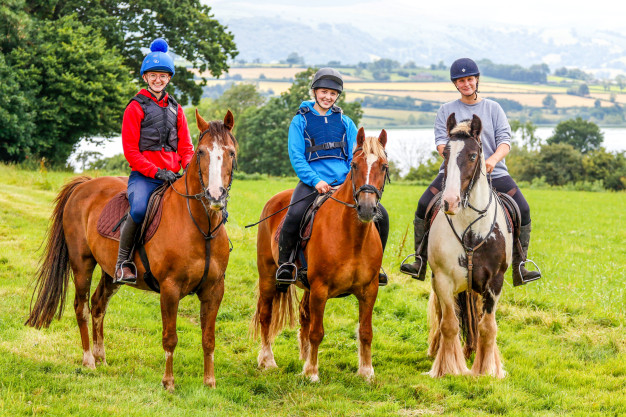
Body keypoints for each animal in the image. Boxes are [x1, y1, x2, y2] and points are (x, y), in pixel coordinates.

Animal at [25, 110, 238, 390]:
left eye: (231, 152)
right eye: (201, 152)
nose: (215, 195)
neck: (203, 229)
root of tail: (83, 186)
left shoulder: (214, 290)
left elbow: (209, 338)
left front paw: (210, 383)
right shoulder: (170, 289)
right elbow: (170, 337)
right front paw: (168, 383)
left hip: (111, 272)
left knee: (98, 305)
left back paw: (101, 357)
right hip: (82, 264)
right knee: (81, 307)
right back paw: (88, 361)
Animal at [251, 128, 388, 382]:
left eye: (383, 166)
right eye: (354, 165)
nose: (366, 208)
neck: (352, 238)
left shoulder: (369, 290)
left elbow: (365, 331)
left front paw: (366, 372)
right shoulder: (320, 290)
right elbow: (317, 332)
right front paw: (312, 373)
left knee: (304, 317)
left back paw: (304, 358)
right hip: (267, 276)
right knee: (266, 316)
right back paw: (268, 360)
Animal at [426, 113, 510, 376]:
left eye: (473, 156)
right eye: (446, 154)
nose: (450, 202)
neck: (470, 228)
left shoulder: (494, 283)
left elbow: (487, 327)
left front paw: (485, 370)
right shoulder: (442, 279)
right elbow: (449, 324)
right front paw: (448, 368)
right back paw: (437, 350)